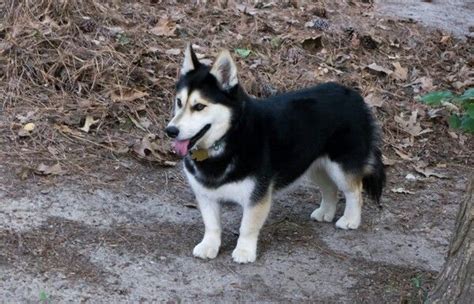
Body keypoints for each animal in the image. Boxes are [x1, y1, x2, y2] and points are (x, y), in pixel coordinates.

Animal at [166, 45, 386, 264]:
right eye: (179, 102)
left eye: (199, 106)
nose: (170, 131)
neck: (230, 136)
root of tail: (355, 96)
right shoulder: (205, 194)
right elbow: (211, 225)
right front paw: (209, 246)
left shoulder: (257, 196)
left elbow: (247, 226)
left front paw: (244, 251)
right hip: (313, 164)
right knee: (330, 188)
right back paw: (325, 212)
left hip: (340, 166)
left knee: (354, 191)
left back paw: (350, 219)